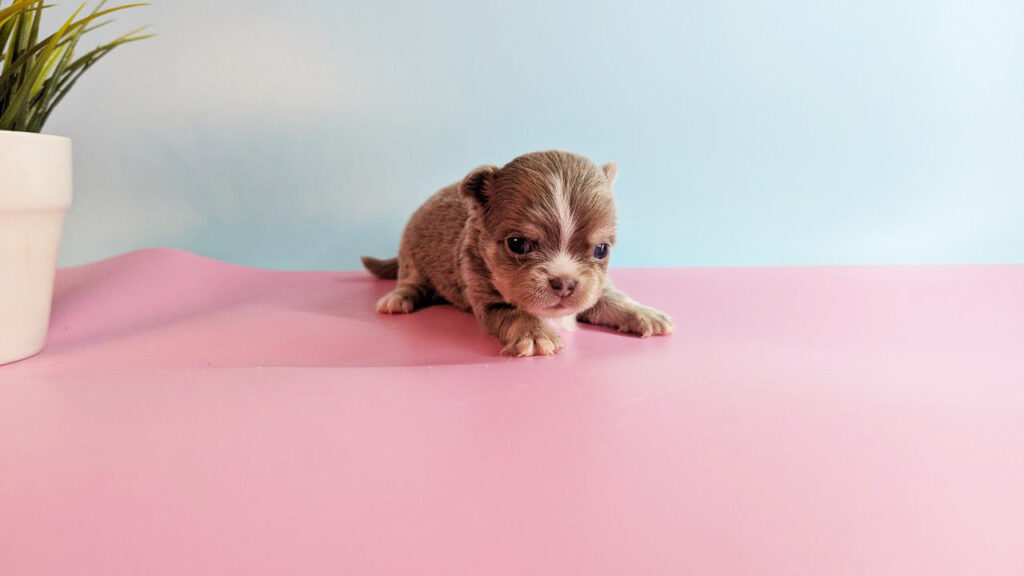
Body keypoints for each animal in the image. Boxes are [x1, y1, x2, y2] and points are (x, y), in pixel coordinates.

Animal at [361, 150, 673, 357]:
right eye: (518, 244)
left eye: (601, 249)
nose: (564, 282)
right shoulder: (488, 298)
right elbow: (515, 313)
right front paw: (535, 334)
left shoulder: (594, 287)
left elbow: (611, 298)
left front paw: (643, 312)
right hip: (411, 255)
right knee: (410, 281)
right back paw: (398, 298)